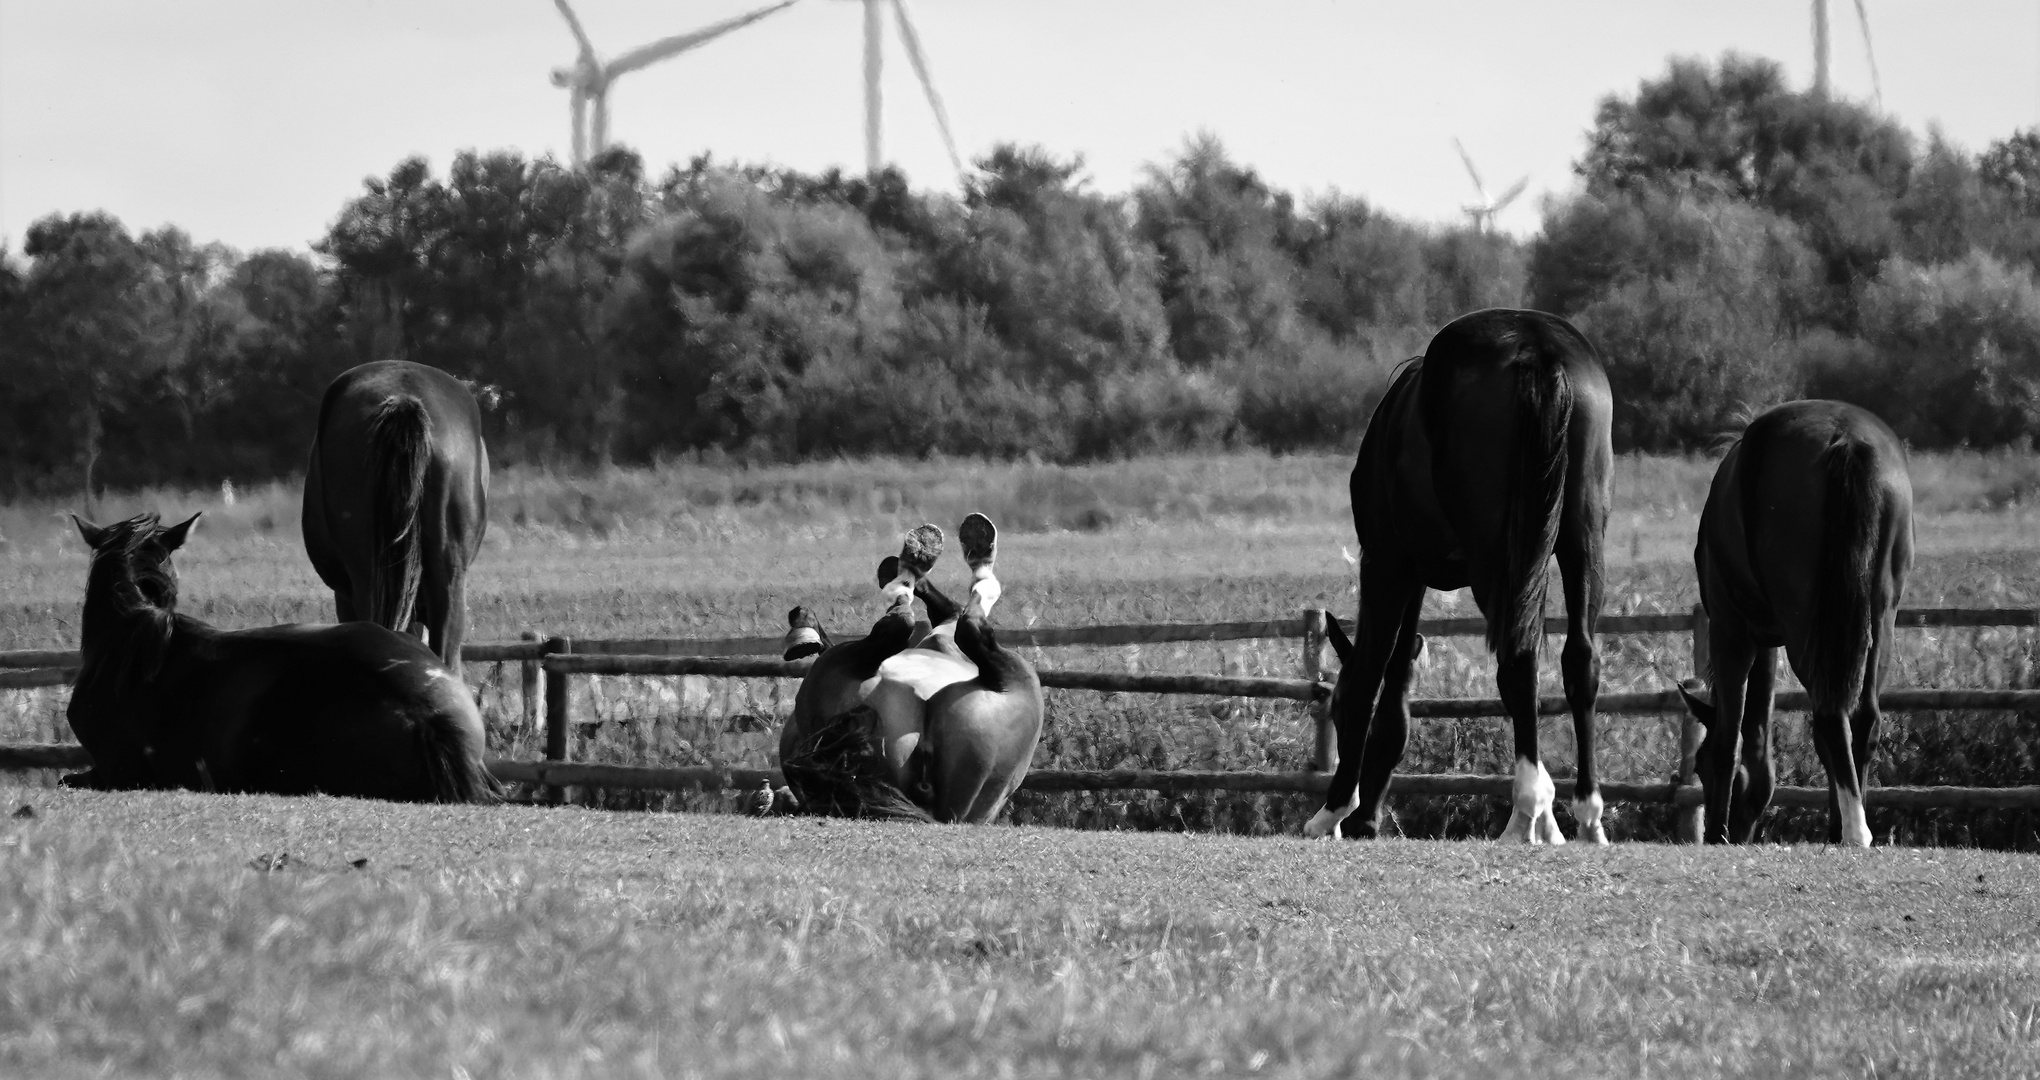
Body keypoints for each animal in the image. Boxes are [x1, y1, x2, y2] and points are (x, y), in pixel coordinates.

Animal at [1305, 308, 1607, 845]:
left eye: (1334, 710)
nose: (1364, 824)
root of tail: (1538, 347)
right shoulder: (1419, 575)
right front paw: (1552, 824)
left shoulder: (1388, 563)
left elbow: (1368, 680)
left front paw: (1333, 810)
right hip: (1581, 541)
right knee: (1580, 660)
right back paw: (1586, 815)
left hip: (1494, 561)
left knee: (1517, 661)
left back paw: (1524, 810)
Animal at [1672, 400, 1909, 845]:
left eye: (1700, 765)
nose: (1736, 833)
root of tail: (1846, 439)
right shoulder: (1768, 640)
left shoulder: (1733, 632)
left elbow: (1731, 736)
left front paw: (1716, 832)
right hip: (1878, 622)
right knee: (1862, 719)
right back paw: (1846, 825)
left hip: (1806, 631)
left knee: (1831, 717)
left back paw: (1852, 830)